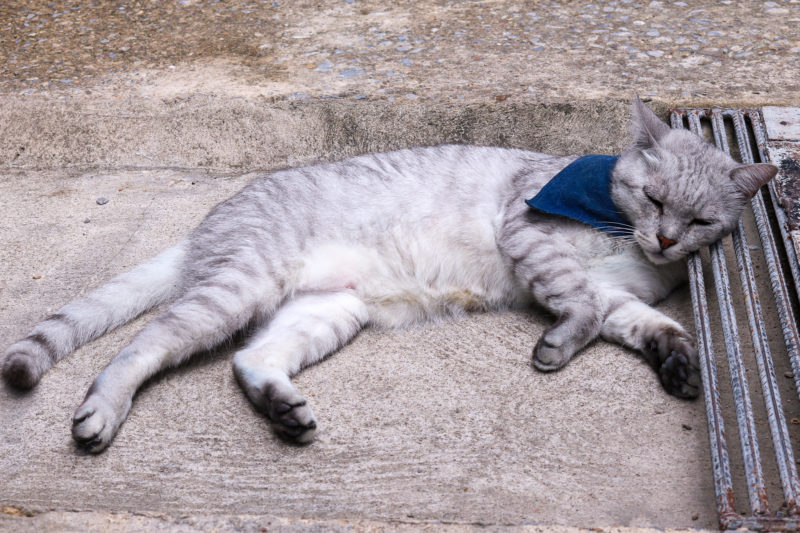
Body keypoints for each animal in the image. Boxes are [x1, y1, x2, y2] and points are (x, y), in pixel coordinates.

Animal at [0, 98, 776, 448]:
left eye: (700, 221)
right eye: (654, 199)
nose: (668, 239)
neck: (624, 238)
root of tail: (207, 223)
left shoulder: (620, 294)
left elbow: (652, 322)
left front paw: (680, 361)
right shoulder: (533, 237)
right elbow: (576, 305)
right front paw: (558, 346)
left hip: (327, 310)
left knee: (252, 359)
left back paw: (284, 409)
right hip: (238, 288)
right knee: (141, 344)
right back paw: (102, 409)